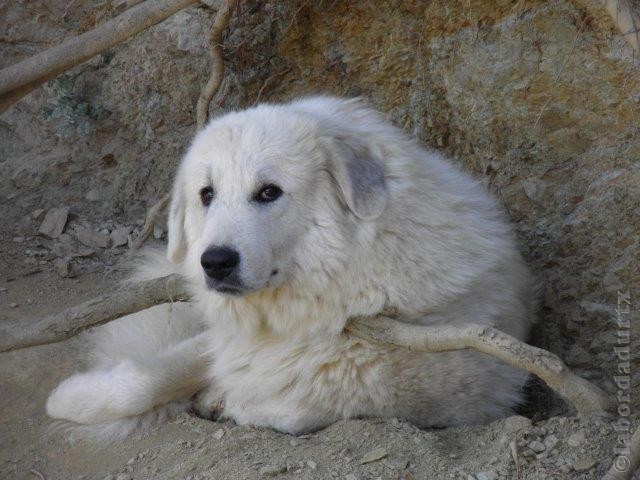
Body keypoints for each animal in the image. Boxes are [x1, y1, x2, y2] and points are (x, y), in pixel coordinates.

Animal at [46, 95, 536, 436]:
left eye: (269, 192)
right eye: (207, 194)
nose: (215, 262)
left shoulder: (451, 386)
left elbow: (294, 406)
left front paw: (224, 399)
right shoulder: (230, 339)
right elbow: (149, 378)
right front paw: (67, 400)